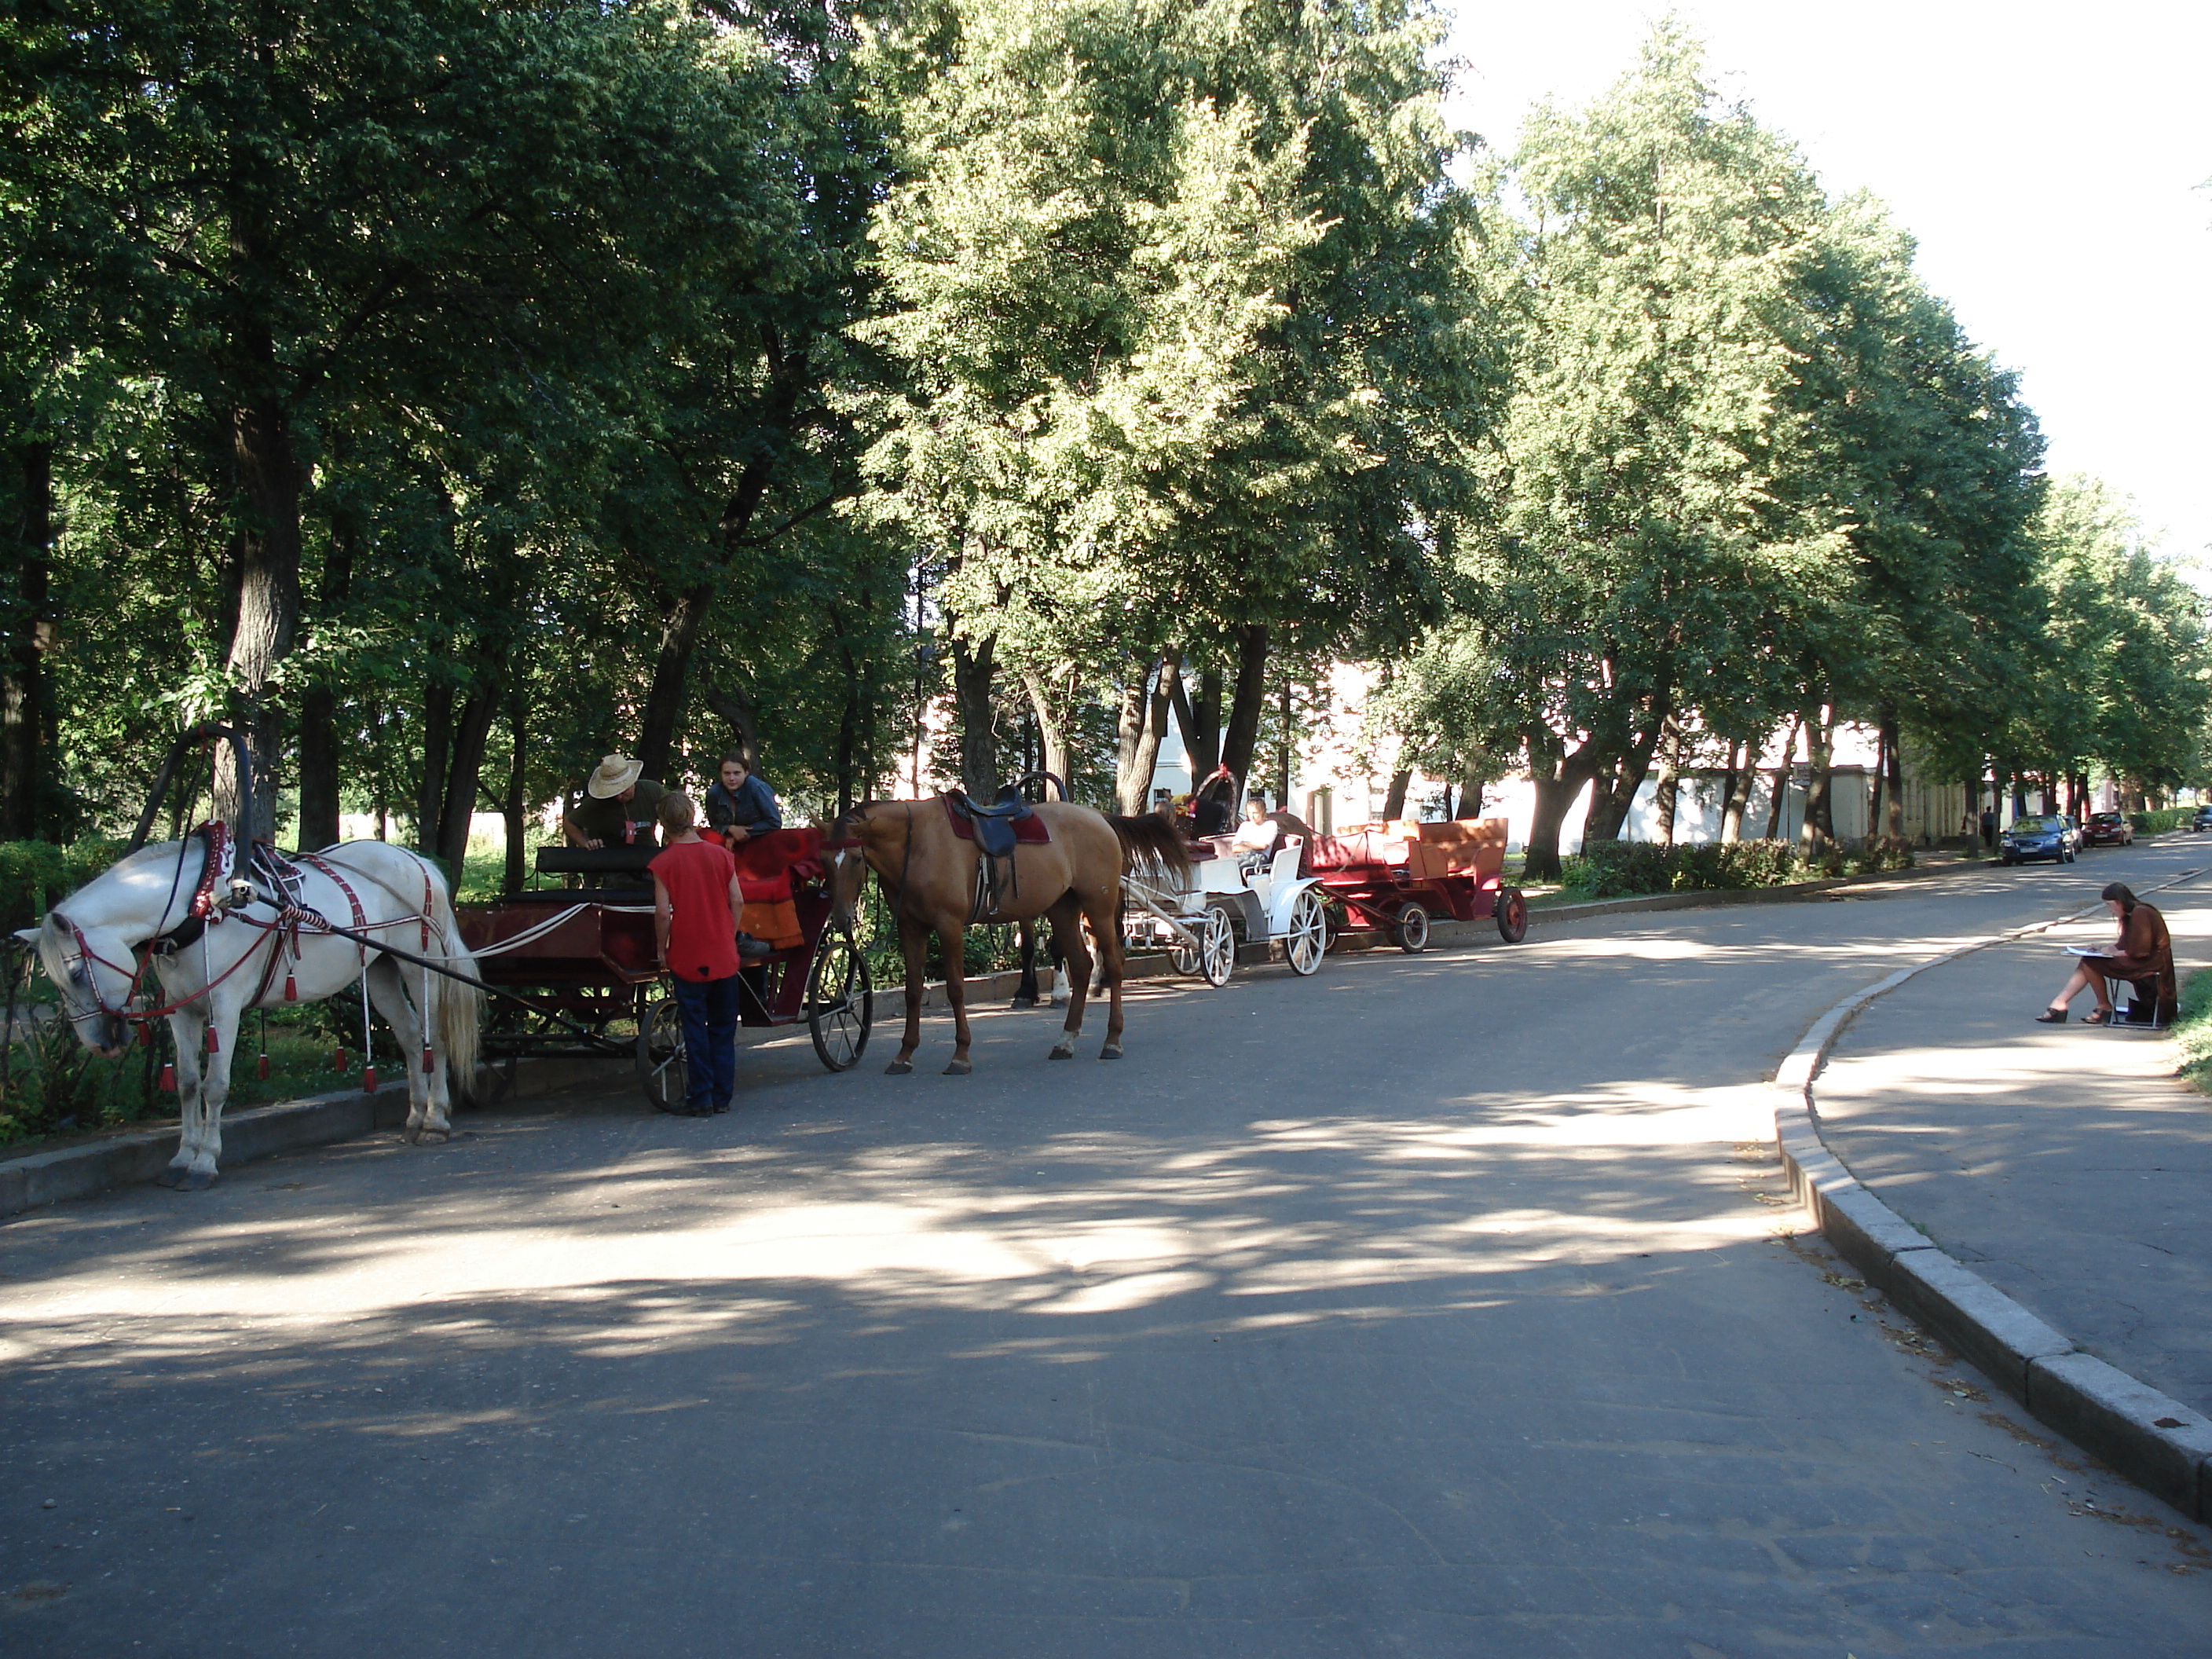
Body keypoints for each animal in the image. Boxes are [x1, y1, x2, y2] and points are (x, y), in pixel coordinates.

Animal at [24, 836, 482, 1185]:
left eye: (77, 972)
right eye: (55, 980)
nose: (101, 1045)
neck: (201, 905)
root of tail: (416, 860)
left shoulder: (225, 1006)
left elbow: (215, 1085)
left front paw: (205, 1162)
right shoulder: (182, 1011)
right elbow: (187, 1083)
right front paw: (182, 1157)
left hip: (419, 966)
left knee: (435, 1040)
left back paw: (436, 1121)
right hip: (382, 970)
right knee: (409, 1037)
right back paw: (415, 1118)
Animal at [827, 800, 1194, 1079]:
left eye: (857, 859)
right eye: (823, 861)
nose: (841, 918)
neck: (917, 844)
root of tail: (1100, 817)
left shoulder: (949, 925)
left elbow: (956, 988)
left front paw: (961, 1055)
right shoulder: (911, 928)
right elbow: (913, 992)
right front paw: (904, 1055)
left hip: (1098, 908)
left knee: (1115, 964)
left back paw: (1112, 1040)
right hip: (1063, 910)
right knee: (1081, 966)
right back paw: (1065, 1040)